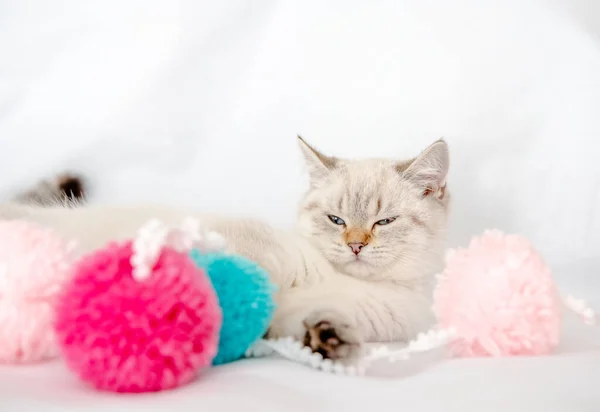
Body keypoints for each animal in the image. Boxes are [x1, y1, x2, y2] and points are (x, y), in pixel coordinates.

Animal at [0, 137, 450, 358]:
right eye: (336, 220)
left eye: (384, 222)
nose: (355, 245)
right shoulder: (245, 243)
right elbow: (234, 272)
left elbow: (286, 320)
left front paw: (326, 340)